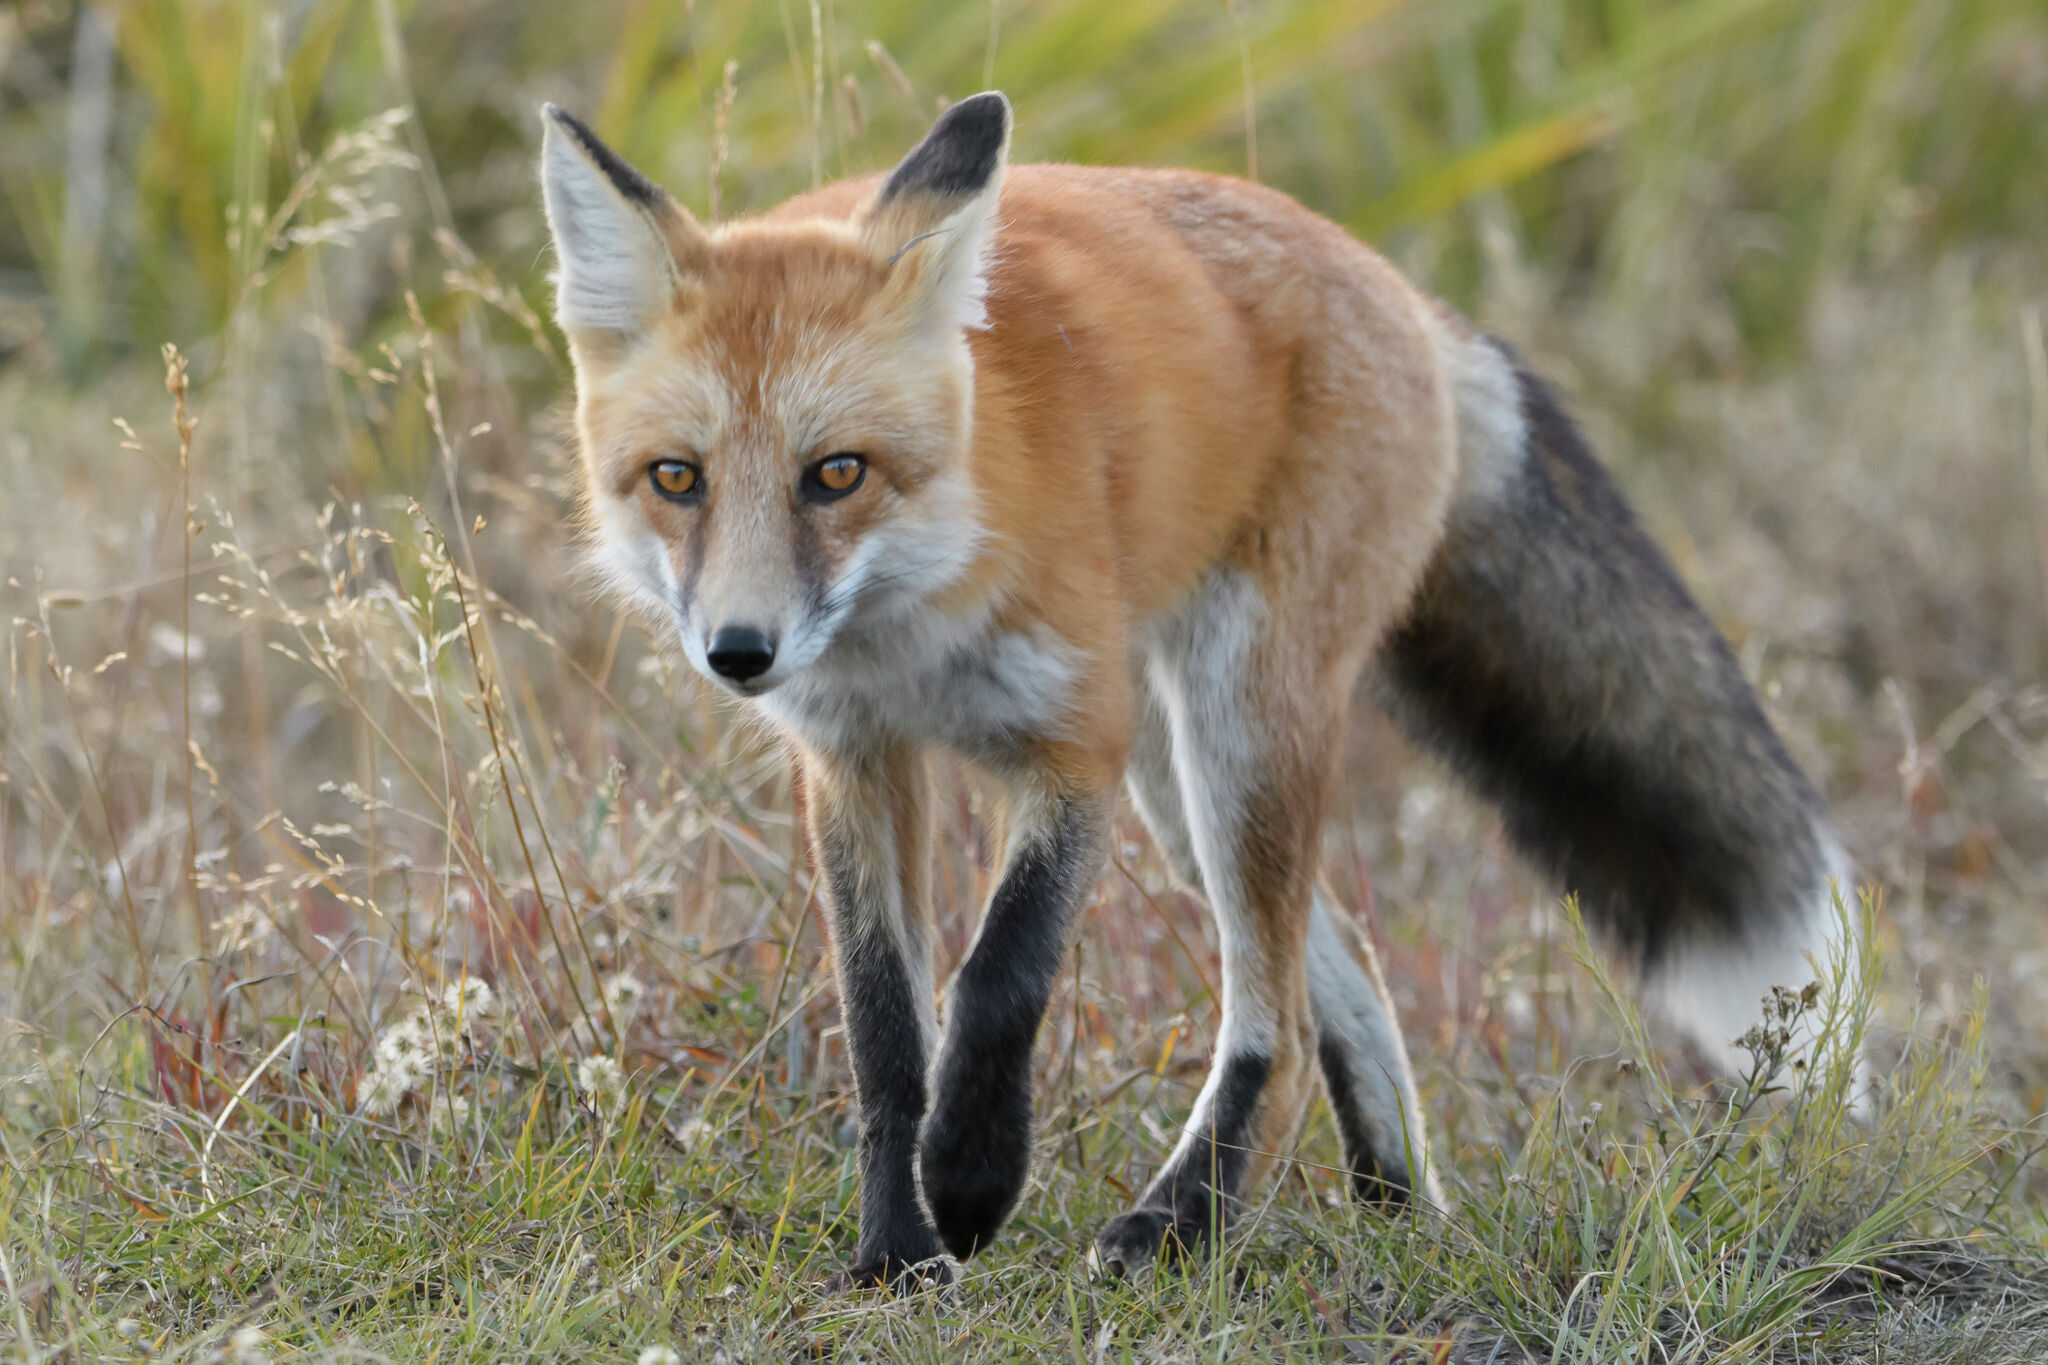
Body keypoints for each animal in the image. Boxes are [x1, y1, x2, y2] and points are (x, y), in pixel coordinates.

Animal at [536, 90, 1851, 1285]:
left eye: (836, 474)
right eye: (676, 478)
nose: (739, 651)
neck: (906, 631)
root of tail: (1405, 297)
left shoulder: (1077, 745)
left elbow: (997, 977)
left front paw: (969, 1181)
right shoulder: (855, 760)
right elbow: (884, 1035)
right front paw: (895, 1252)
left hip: (1233, 729)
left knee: (1272, 1021)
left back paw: (1179, 1225)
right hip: (1183, 790)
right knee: (1334, 980)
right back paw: (1392, 1204)